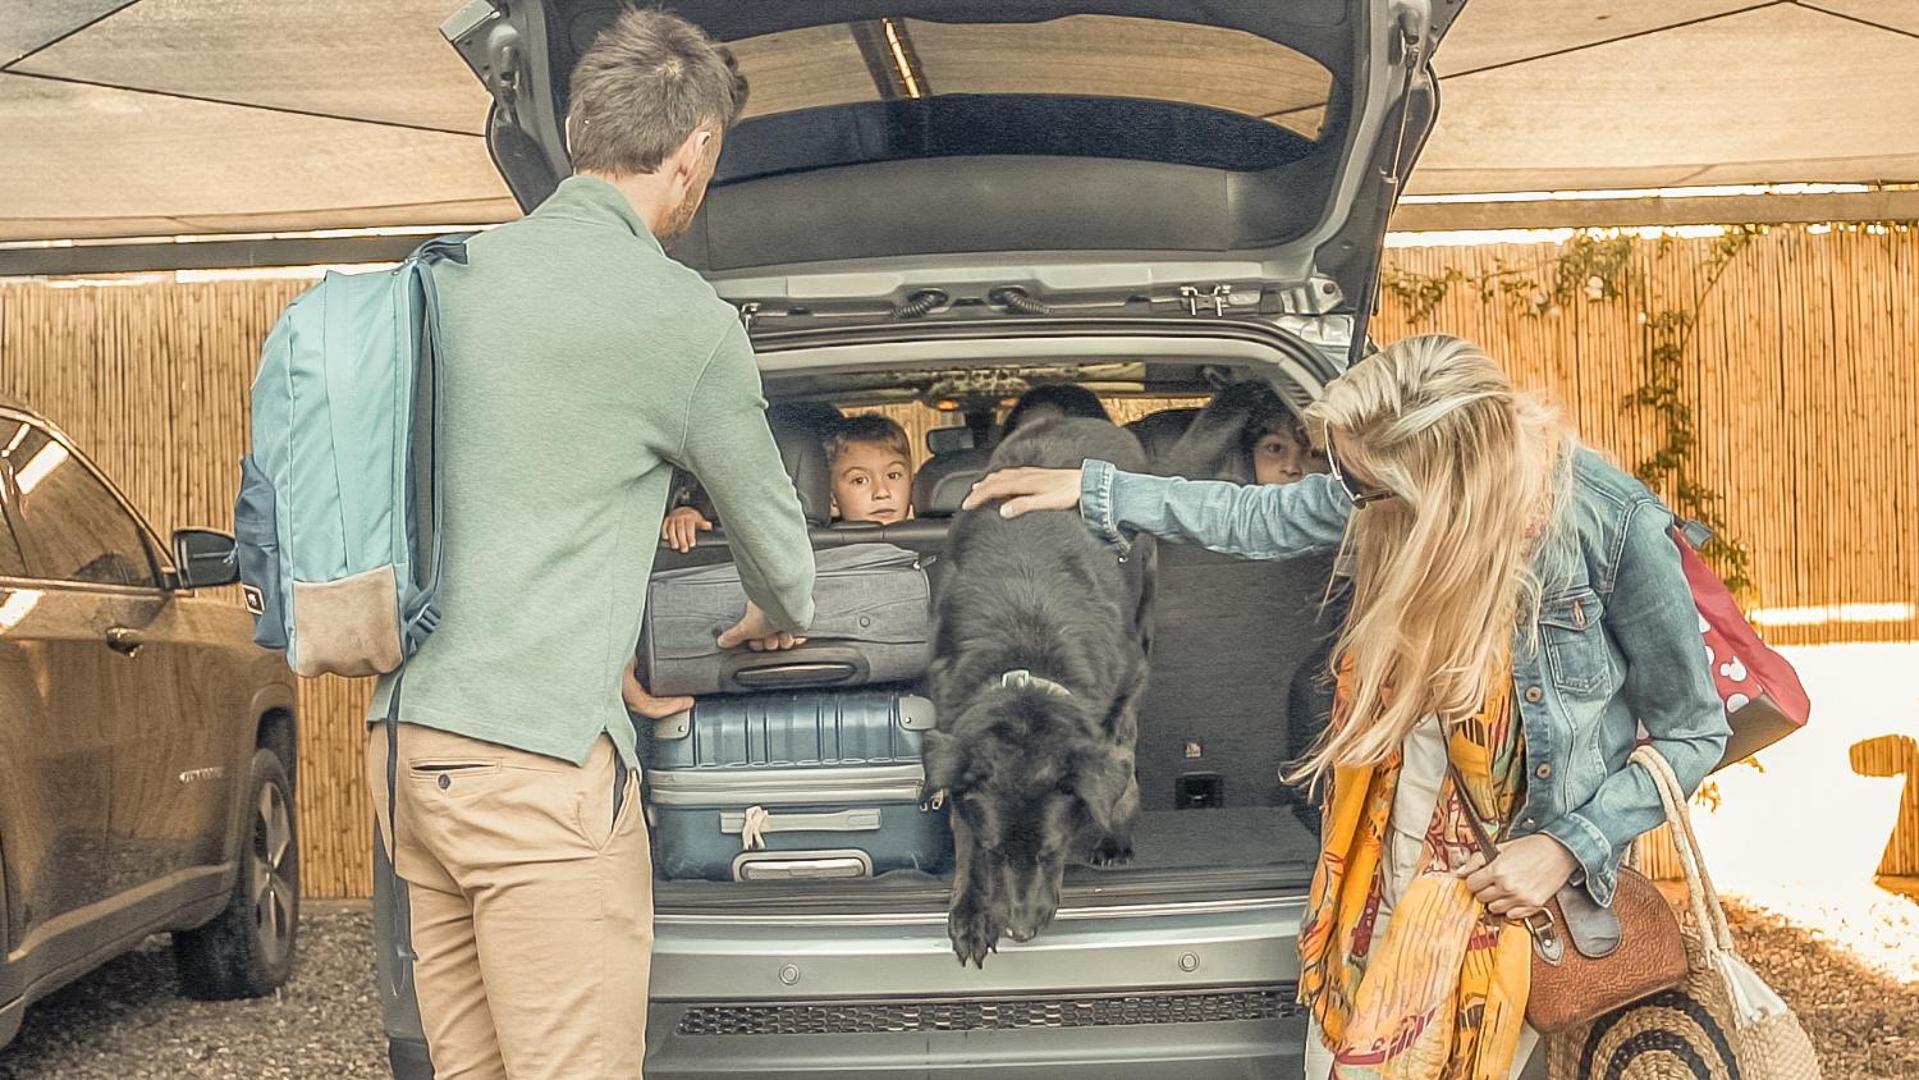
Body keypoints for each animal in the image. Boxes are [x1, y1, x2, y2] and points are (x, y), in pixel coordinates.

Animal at [922, 415, 1155, 967]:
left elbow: (1120, 764)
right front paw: (970, 912)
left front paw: (1115, 834)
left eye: (1052, 852)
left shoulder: (1131, 680)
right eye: (995, 852)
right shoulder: (950, 722)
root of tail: (1079, 417)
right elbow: (962, 826)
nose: (1021, 931)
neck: (1024, 655)